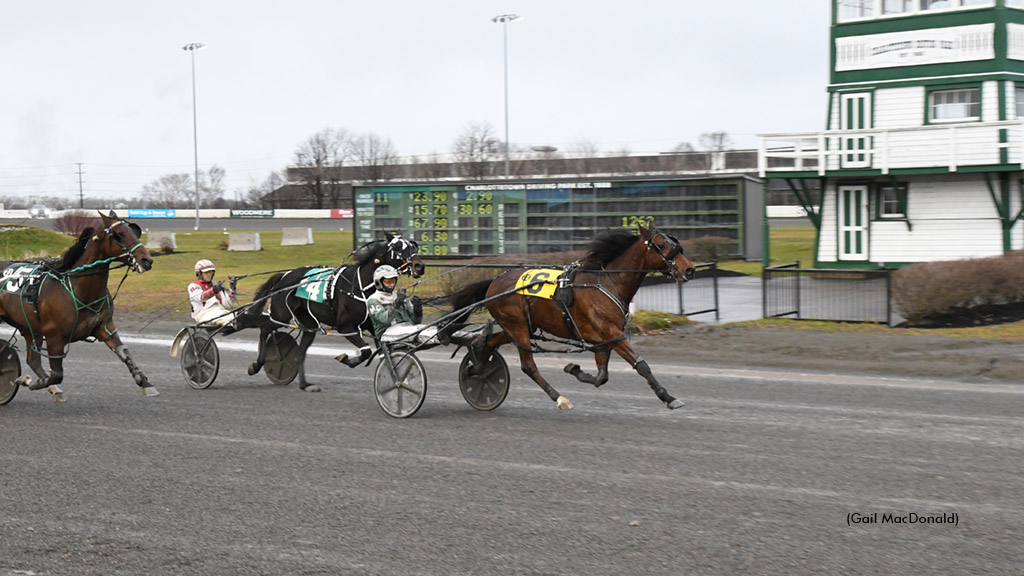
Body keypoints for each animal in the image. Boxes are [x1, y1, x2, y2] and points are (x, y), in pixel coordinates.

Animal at [0, 208, 155, 401]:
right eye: (119, 234)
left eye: (134, 231)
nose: (146, 260)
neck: (78, 288)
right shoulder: (54, 337)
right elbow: (57, 375)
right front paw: (27, 381)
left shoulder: (105, 327)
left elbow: (124, 352)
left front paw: (145, 383)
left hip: (29, 327)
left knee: (32, 359)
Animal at [243, 231, 423, 389]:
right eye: (398, 247)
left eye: (414, 246)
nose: (419, 266)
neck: (360, 286)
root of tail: (283, 276)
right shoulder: (345, 327)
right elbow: (365, 351)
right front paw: (345, 359)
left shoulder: (373, 327)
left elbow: (383, 355)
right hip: (281, 314)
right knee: (265, 328)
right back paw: (256, 365)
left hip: (309, 325)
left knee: (300, 352)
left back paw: (305, 384)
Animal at [450, 223, 696, 407]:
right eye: (661, 245)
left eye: (674, 242)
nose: (690, 269)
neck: (606, 283)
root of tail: (494, 282)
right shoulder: (612, 333)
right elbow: (641, 365)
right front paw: (669, 397)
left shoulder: (603, 339)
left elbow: (601, 376)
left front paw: (574, 369)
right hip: (517, 328)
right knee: (528, 366)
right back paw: (558, 397)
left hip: (520, 326)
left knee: (489, 342)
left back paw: (477, 368)